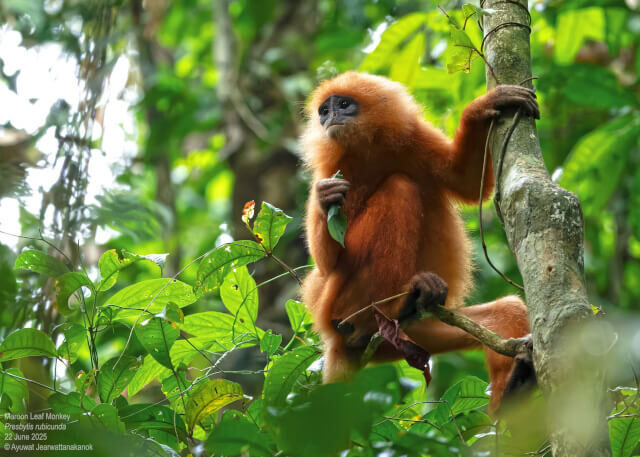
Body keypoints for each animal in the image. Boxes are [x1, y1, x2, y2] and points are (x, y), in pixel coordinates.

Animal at [300, 72, 539, 413]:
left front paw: (480, 109)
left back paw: (513, 390)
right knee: (400, 188)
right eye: (323, 111)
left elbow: (466, 182)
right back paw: (380, 311)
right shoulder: (330, 169)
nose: (329, 117)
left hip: (413, 338)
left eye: (343, 105)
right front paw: (324, 198)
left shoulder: (416, 139)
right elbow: (326, 262)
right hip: (332, 299)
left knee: (506, 312)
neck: (370, 150)